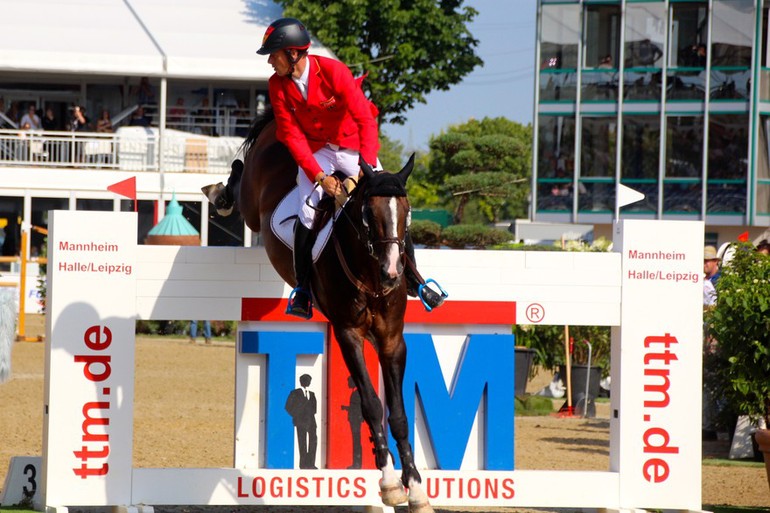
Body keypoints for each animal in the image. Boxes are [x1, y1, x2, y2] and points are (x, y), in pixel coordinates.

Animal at [204, 113, 432, 512]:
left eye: (406, 215)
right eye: (368, 215)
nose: (393, 273)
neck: (370, 274)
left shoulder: (392, 340)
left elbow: (400, 414)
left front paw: (416, 489)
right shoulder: (348, 334)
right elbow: (372, 405)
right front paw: (390, 483)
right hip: (253, 201)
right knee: (239, 179)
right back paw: (219, 192)